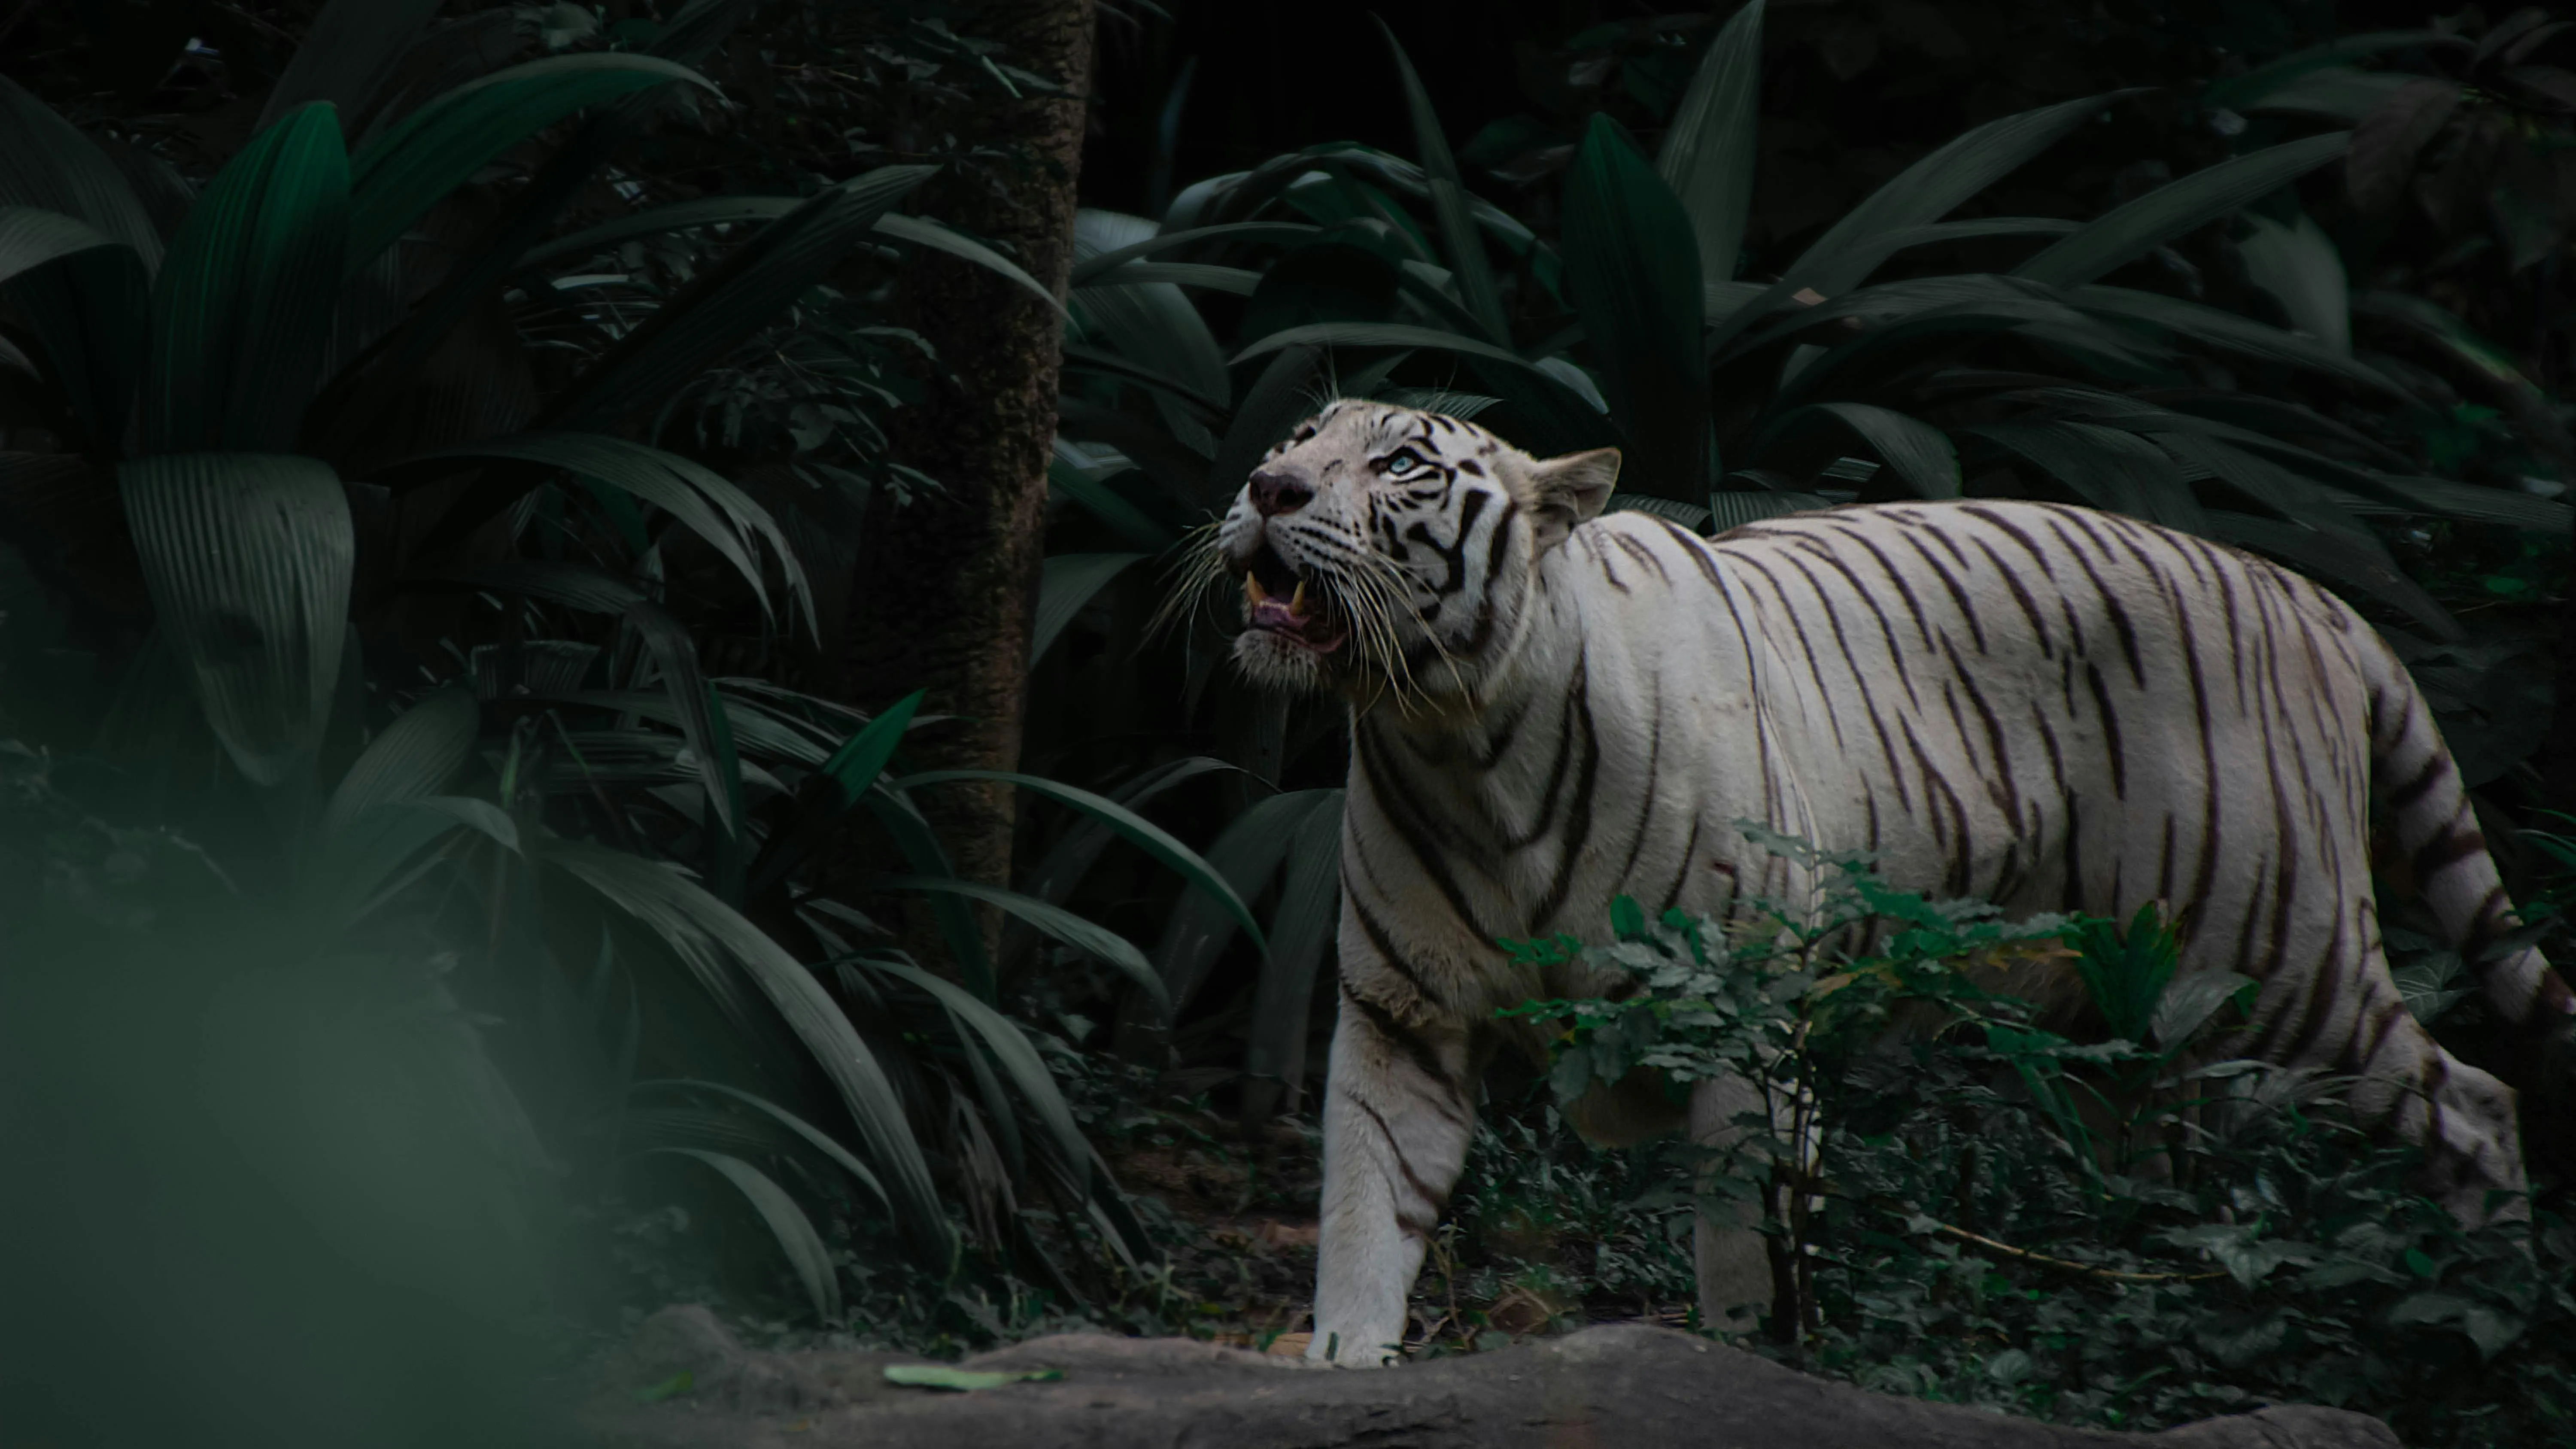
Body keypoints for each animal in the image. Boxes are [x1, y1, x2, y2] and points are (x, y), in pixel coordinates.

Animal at [1176, 397, 2574, 1366]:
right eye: (1302, 435)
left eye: (1399, 465)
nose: (1266, 483)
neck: (1454, 736)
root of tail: (2316, 598)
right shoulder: (1400, 1017)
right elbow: (1365, 1212)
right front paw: (1343, 1363)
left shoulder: (1737, 1026)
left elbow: (1745, 1248)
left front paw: (1745, 1367)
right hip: (2129, 1017)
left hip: (2278, 956)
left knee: (2473, 1099)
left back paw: (2492, 1303)